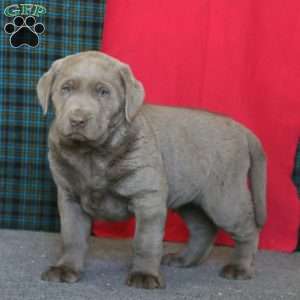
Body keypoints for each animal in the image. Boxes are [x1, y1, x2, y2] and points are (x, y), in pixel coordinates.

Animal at [37, 51, 268, 288]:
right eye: (66, 88)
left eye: (103, 92)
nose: (77, 120)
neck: (92, 154)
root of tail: (242, 129)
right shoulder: (69, 198)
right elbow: (72, 237)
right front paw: (66, 268)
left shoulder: (148, 197)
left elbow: (145, 241)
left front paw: (144, 274)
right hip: (190, 199)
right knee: (203, 229)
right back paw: (183, 259)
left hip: (225, 197)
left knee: (248, 230)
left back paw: (240, 268)